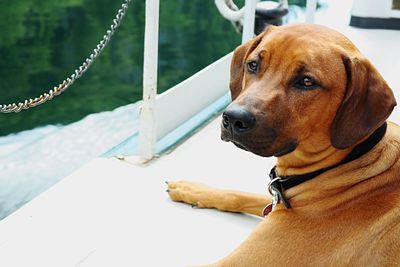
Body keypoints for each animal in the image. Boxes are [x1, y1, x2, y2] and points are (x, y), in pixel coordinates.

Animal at [167, 24, 398, 266]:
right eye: (253, 65)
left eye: (306, 82)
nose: (233, 118)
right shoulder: (275, 204)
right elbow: (239, 194)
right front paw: (193, 189)